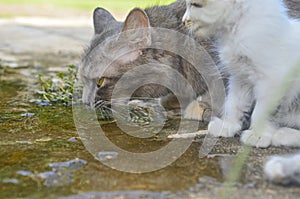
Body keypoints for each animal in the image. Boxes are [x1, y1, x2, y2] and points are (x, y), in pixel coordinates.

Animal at [183, 0, 300, 185]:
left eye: (196, 5)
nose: (184, 21)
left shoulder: (273, 79)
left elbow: (261, 112)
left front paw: (258, 135)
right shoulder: (240, 77)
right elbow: (234, 104)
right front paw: (228, 126)